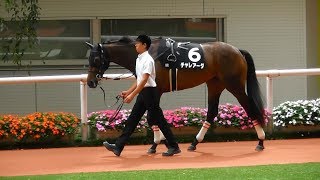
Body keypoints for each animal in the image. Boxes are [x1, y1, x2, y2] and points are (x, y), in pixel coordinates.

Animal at [86, 36, 266, 152]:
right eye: (88, 59)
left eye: (96, 60)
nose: (90, 82)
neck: (150, 54)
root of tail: (237, 50)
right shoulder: (146, 91)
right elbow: (143, 115)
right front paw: (158, 143)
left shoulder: (155, 90)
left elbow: (151, 116)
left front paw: (161, 143)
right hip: (215, 84)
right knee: (212, 112)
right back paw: (194, 143)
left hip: (234, 85)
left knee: (249, 107)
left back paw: (260, 141)